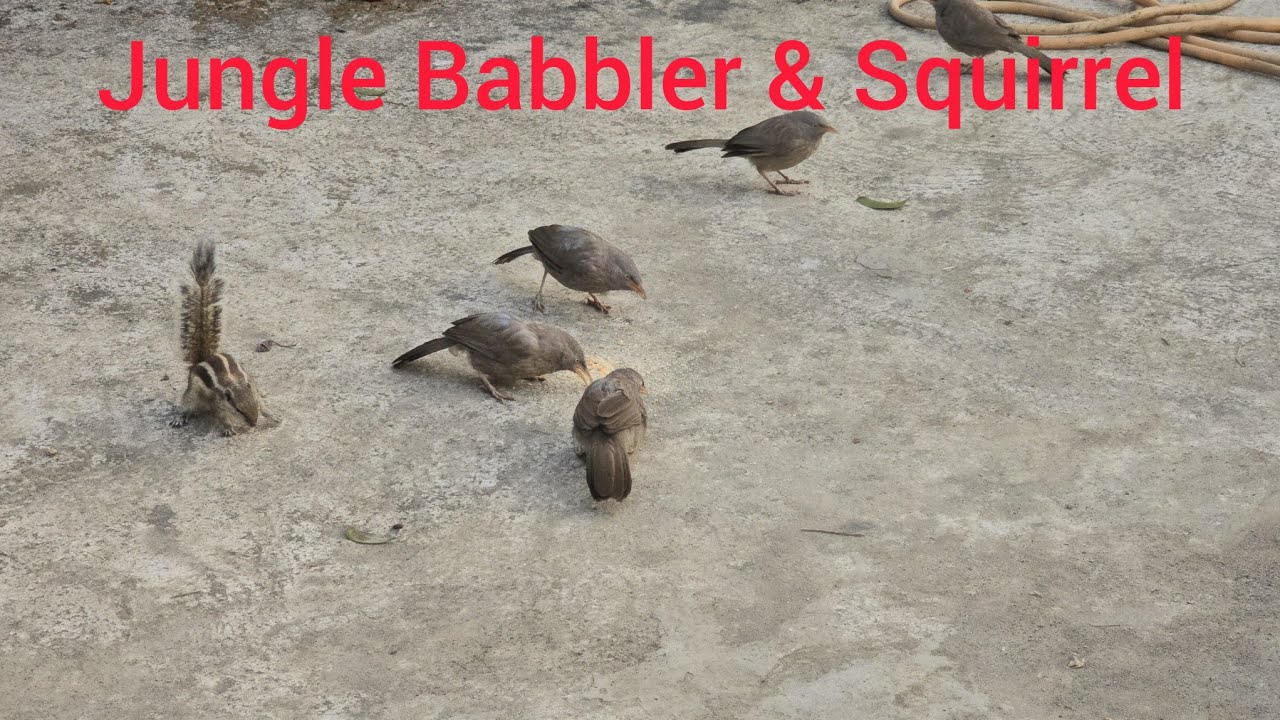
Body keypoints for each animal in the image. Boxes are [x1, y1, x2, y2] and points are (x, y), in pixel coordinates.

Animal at [169, 241, 266, 435]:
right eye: (239, 410)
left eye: (255, 404)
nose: (253, 424)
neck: (236, 384)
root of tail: (202, 359)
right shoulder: (218, 401)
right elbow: (221, 414)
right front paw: (228, 427)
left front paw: (270, 414)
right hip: (192, 392)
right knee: (187, 404)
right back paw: (180, 417)